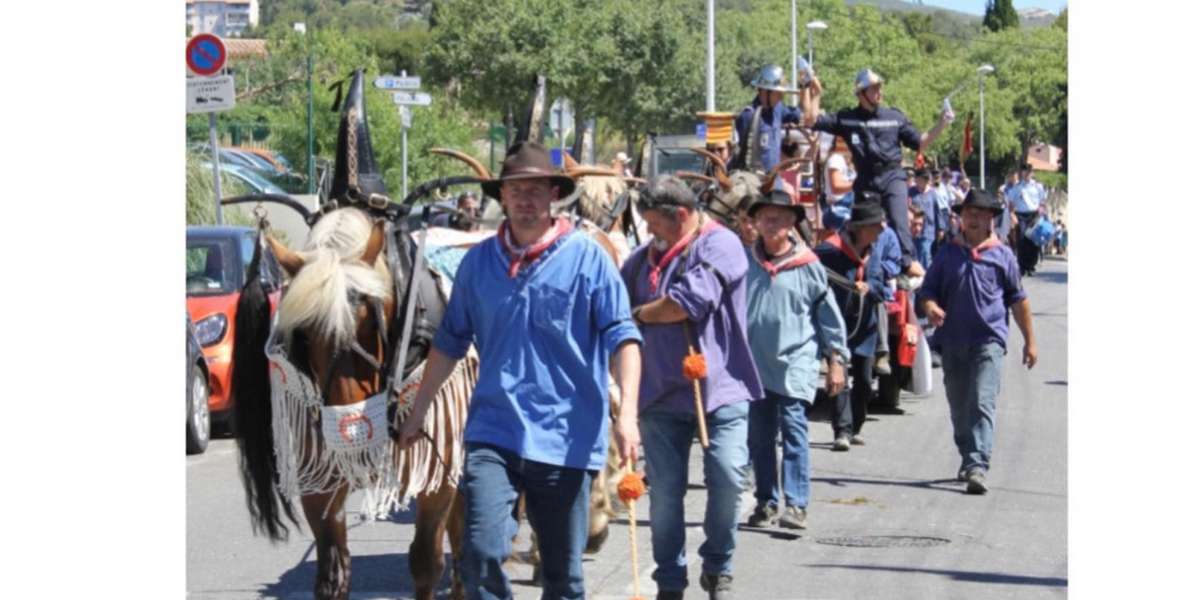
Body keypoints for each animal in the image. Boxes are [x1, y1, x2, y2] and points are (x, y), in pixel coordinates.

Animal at [231, 206, 475, 600]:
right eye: (303, 333)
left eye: (369, 319)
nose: (352, 431)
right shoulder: (321, 477)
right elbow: (334, 570)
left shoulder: (436, 471)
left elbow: (426, 561)